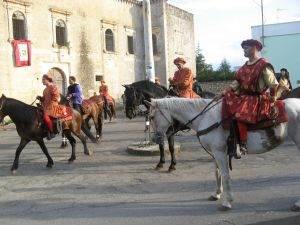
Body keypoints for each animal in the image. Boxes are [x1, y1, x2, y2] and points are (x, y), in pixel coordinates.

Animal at [146, 97, 300, 211]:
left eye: (152, 117)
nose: (154, 139)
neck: (205, 118)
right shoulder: (216, 153)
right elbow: (217, 173)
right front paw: (216, 194)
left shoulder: (220, 153)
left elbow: (226, 175)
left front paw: (227, 202)